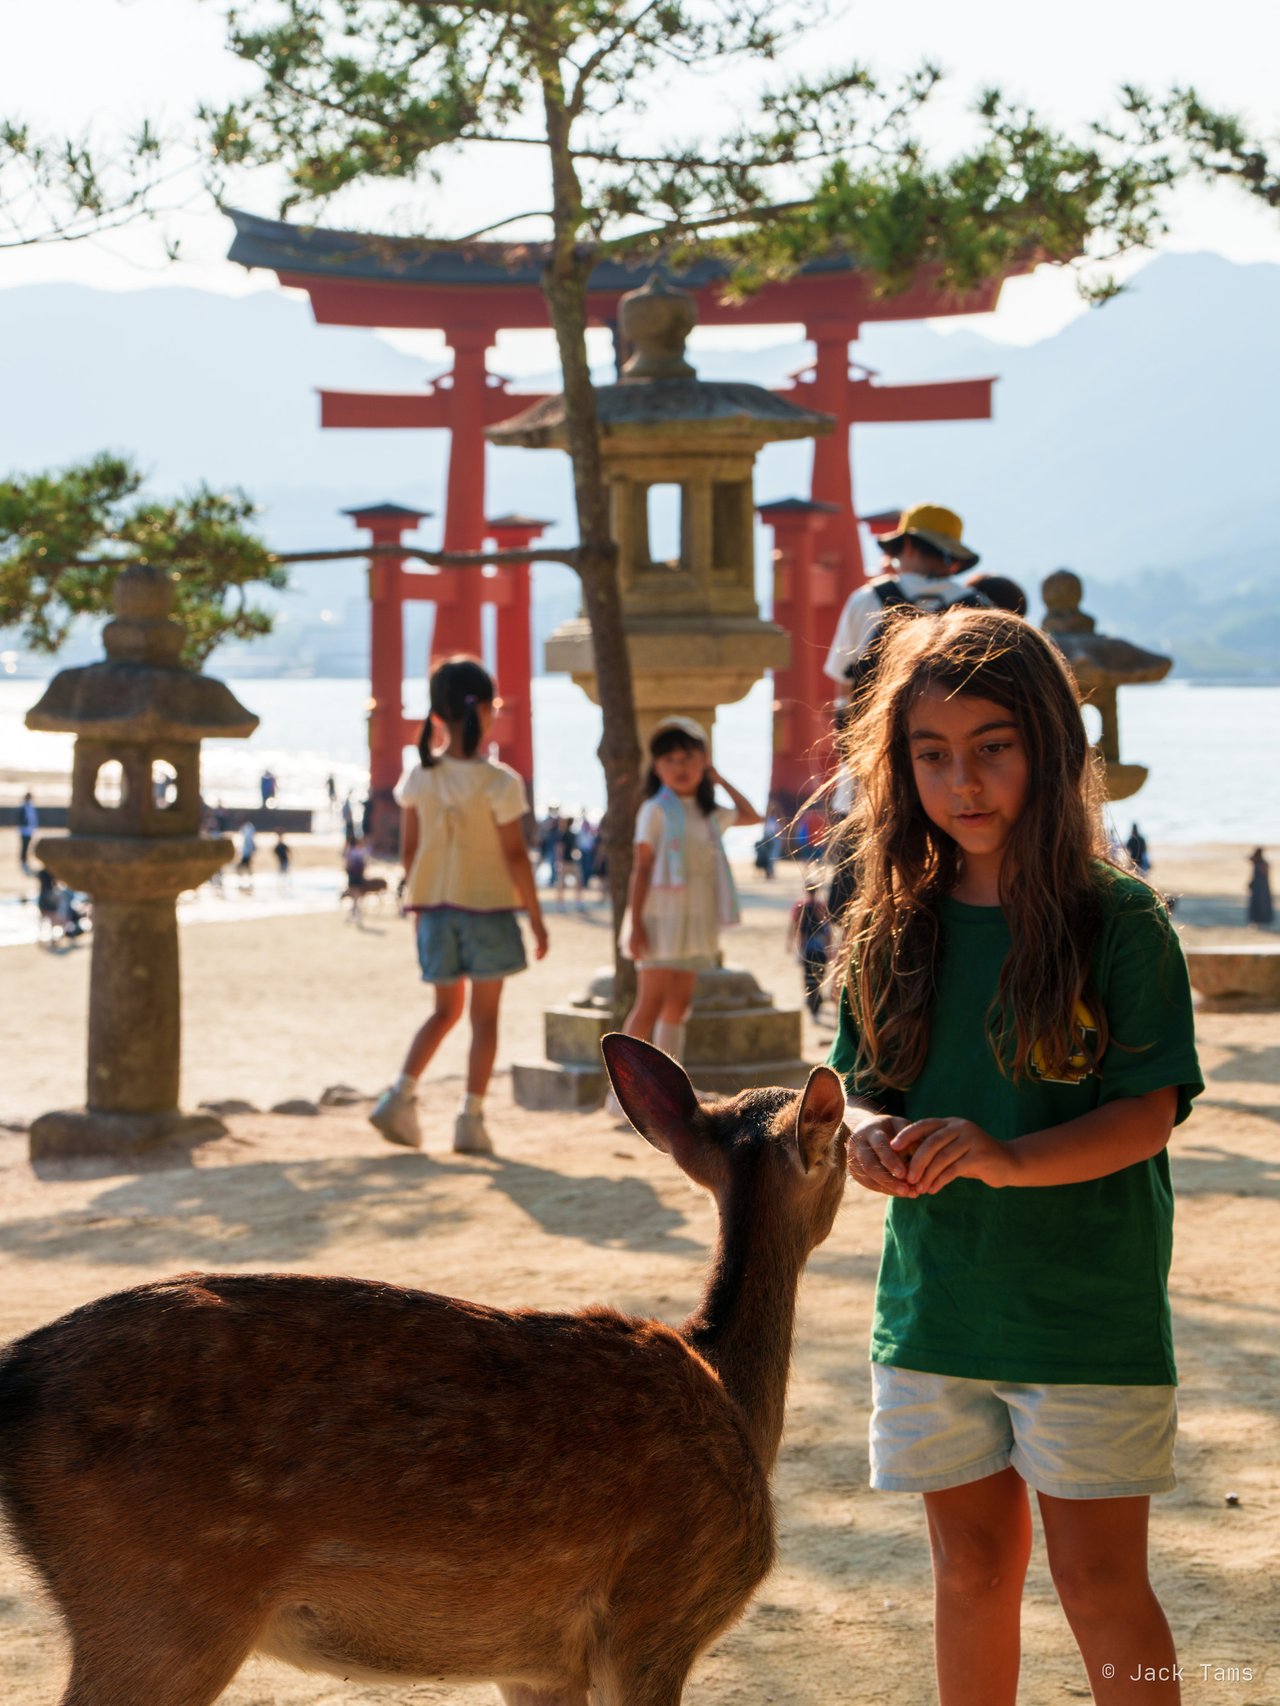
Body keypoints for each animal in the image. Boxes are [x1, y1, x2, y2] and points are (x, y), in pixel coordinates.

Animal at [0, 1034, 847, 1706]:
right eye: (842, 1140)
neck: (735, 1397)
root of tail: (16, 1372)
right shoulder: (657, 1619)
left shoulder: (535, 1662)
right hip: (163, 1608)